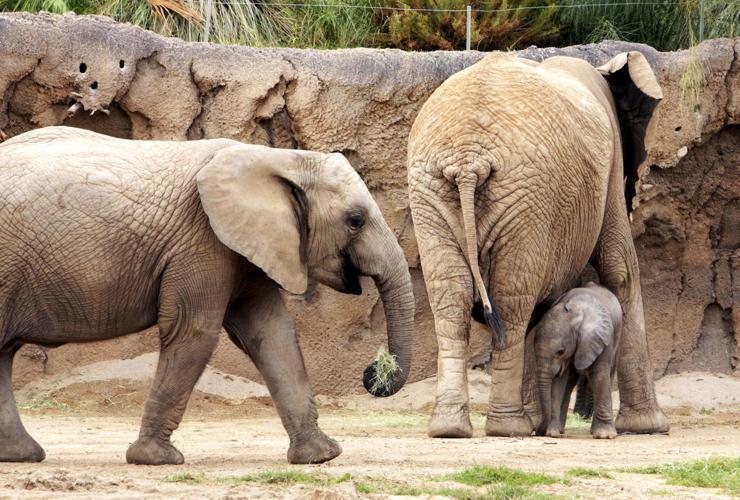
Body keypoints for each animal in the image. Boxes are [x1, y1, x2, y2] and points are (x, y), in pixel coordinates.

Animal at [0, 126, 413, 465]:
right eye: (355, 220)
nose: (371, 372)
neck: (278, 157)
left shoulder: (246, 247)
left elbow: (272, 334)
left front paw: (321, 456)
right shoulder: (202, 240)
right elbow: (194, 331)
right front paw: (156, 459)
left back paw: (20, 455)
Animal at [533, 283, 622, 439]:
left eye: (560, 351)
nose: (538, 432)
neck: (575, 312)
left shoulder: (602, 338)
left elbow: (599, 375)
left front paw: (604, 435)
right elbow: (559, 381)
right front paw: (552, 433)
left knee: (607, 376)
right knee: (569, 383)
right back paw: (560, 429)